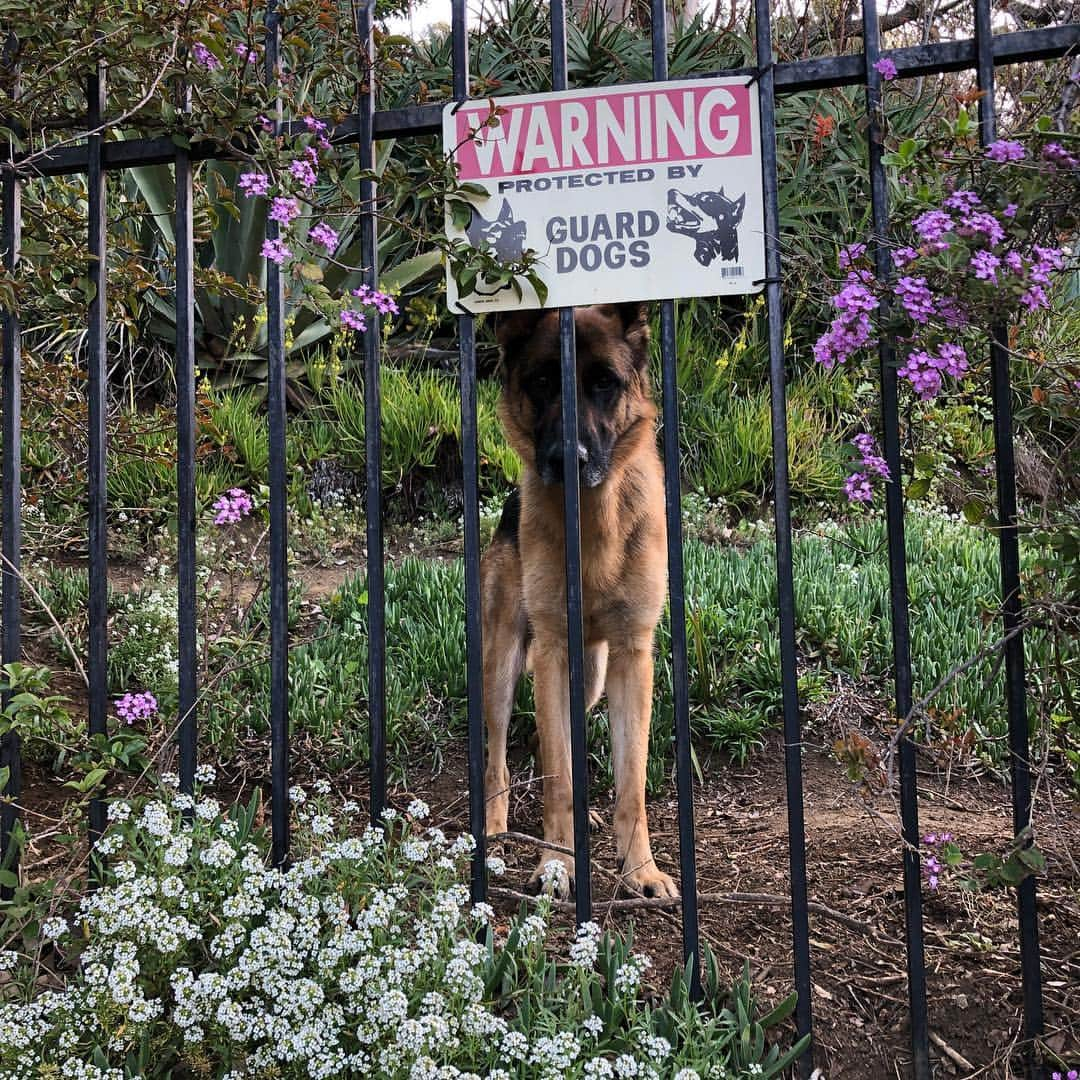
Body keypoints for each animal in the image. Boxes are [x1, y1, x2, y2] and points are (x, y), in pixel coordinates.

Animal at [481, 306, 673, 902]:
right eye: (543, 382)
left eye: (605, 384)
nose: (569, 460)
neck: (591, 524)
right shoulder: (549, 653)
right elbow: (558, 779)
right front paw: (556, 865)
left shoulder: (633, 657)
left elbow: (631, 783)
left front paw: (640, 870)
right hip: (503, 664)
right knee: (499, 755)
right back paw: (494, 827)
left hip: (588, 680)